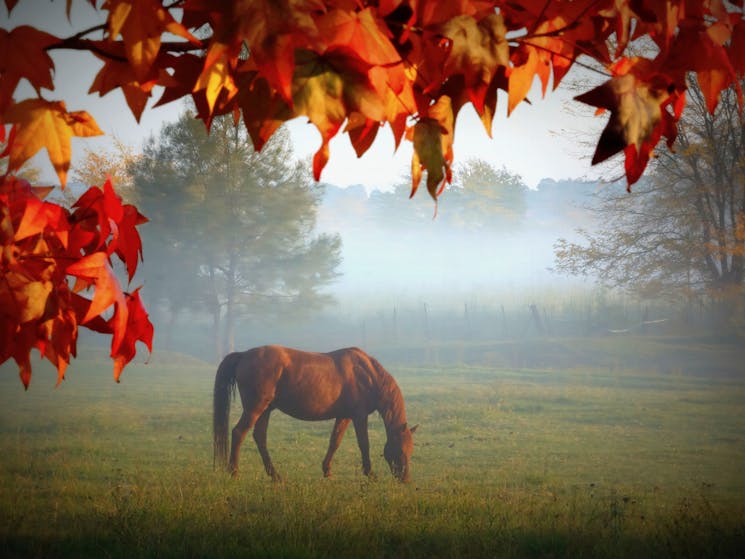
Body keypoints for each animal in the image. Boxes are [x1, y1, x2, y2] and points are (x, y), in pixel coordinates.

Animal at [212, 346, 416, 482]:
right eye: (400, 450)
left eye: (410, 450)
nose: (405, 480)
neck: (367, 374)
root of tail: (244, 355)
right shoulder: (359, 416)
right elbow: (364, 444)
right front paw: (370, 474)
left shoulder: (344, 416)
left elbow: (335, 442)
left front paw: (327, 470)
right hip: (255, 409)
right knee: (239, 433)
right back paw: (234, 472)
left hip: (265, 410)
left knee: (259, 437)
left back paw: (275, 475)